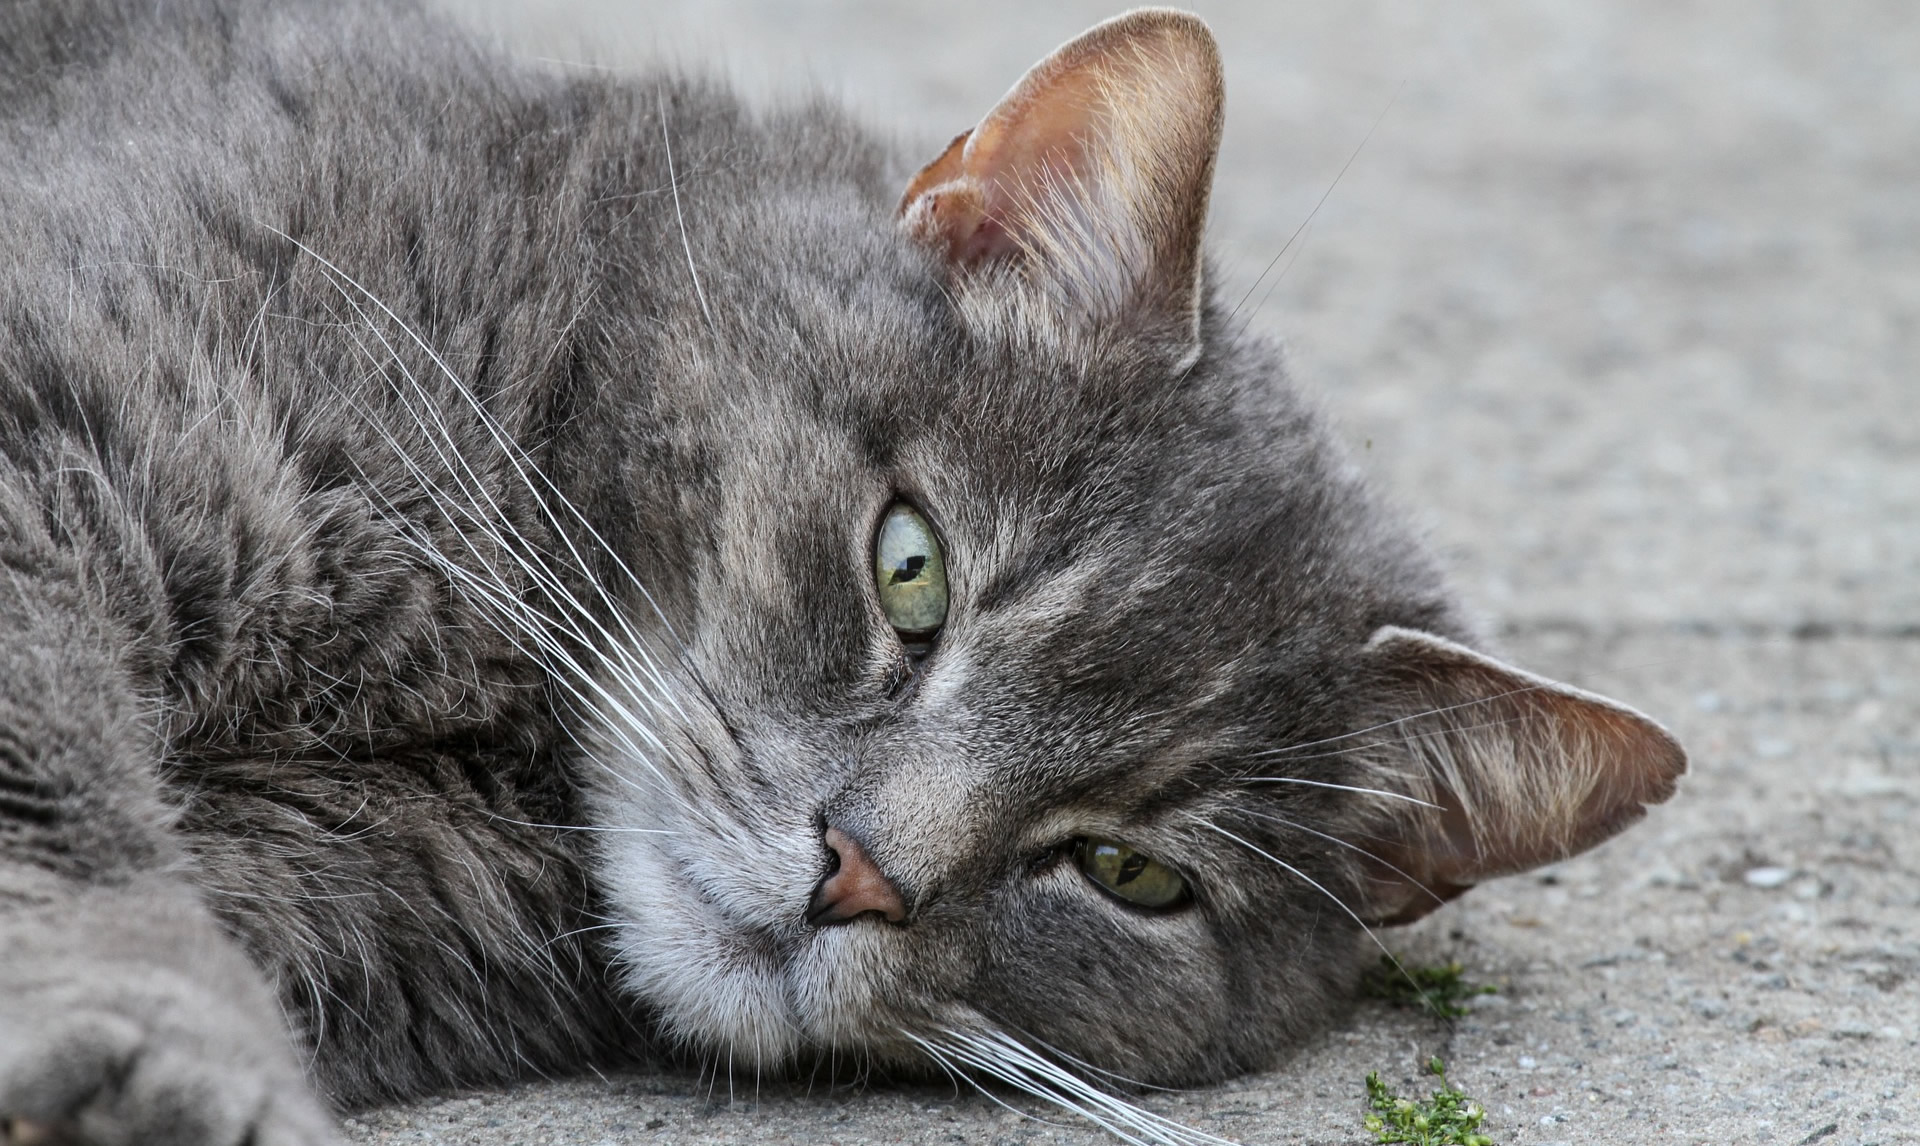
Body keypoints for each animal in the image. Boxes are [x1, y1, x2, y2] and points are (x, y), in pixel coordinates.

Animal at [0, 2, 1681, 1144]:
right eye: (910, 567)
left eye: (1133, 874)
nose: (857, 871)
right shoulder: (57, 436)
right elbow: (66, 804)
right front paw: (160, 1069)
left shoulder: (360, 889)